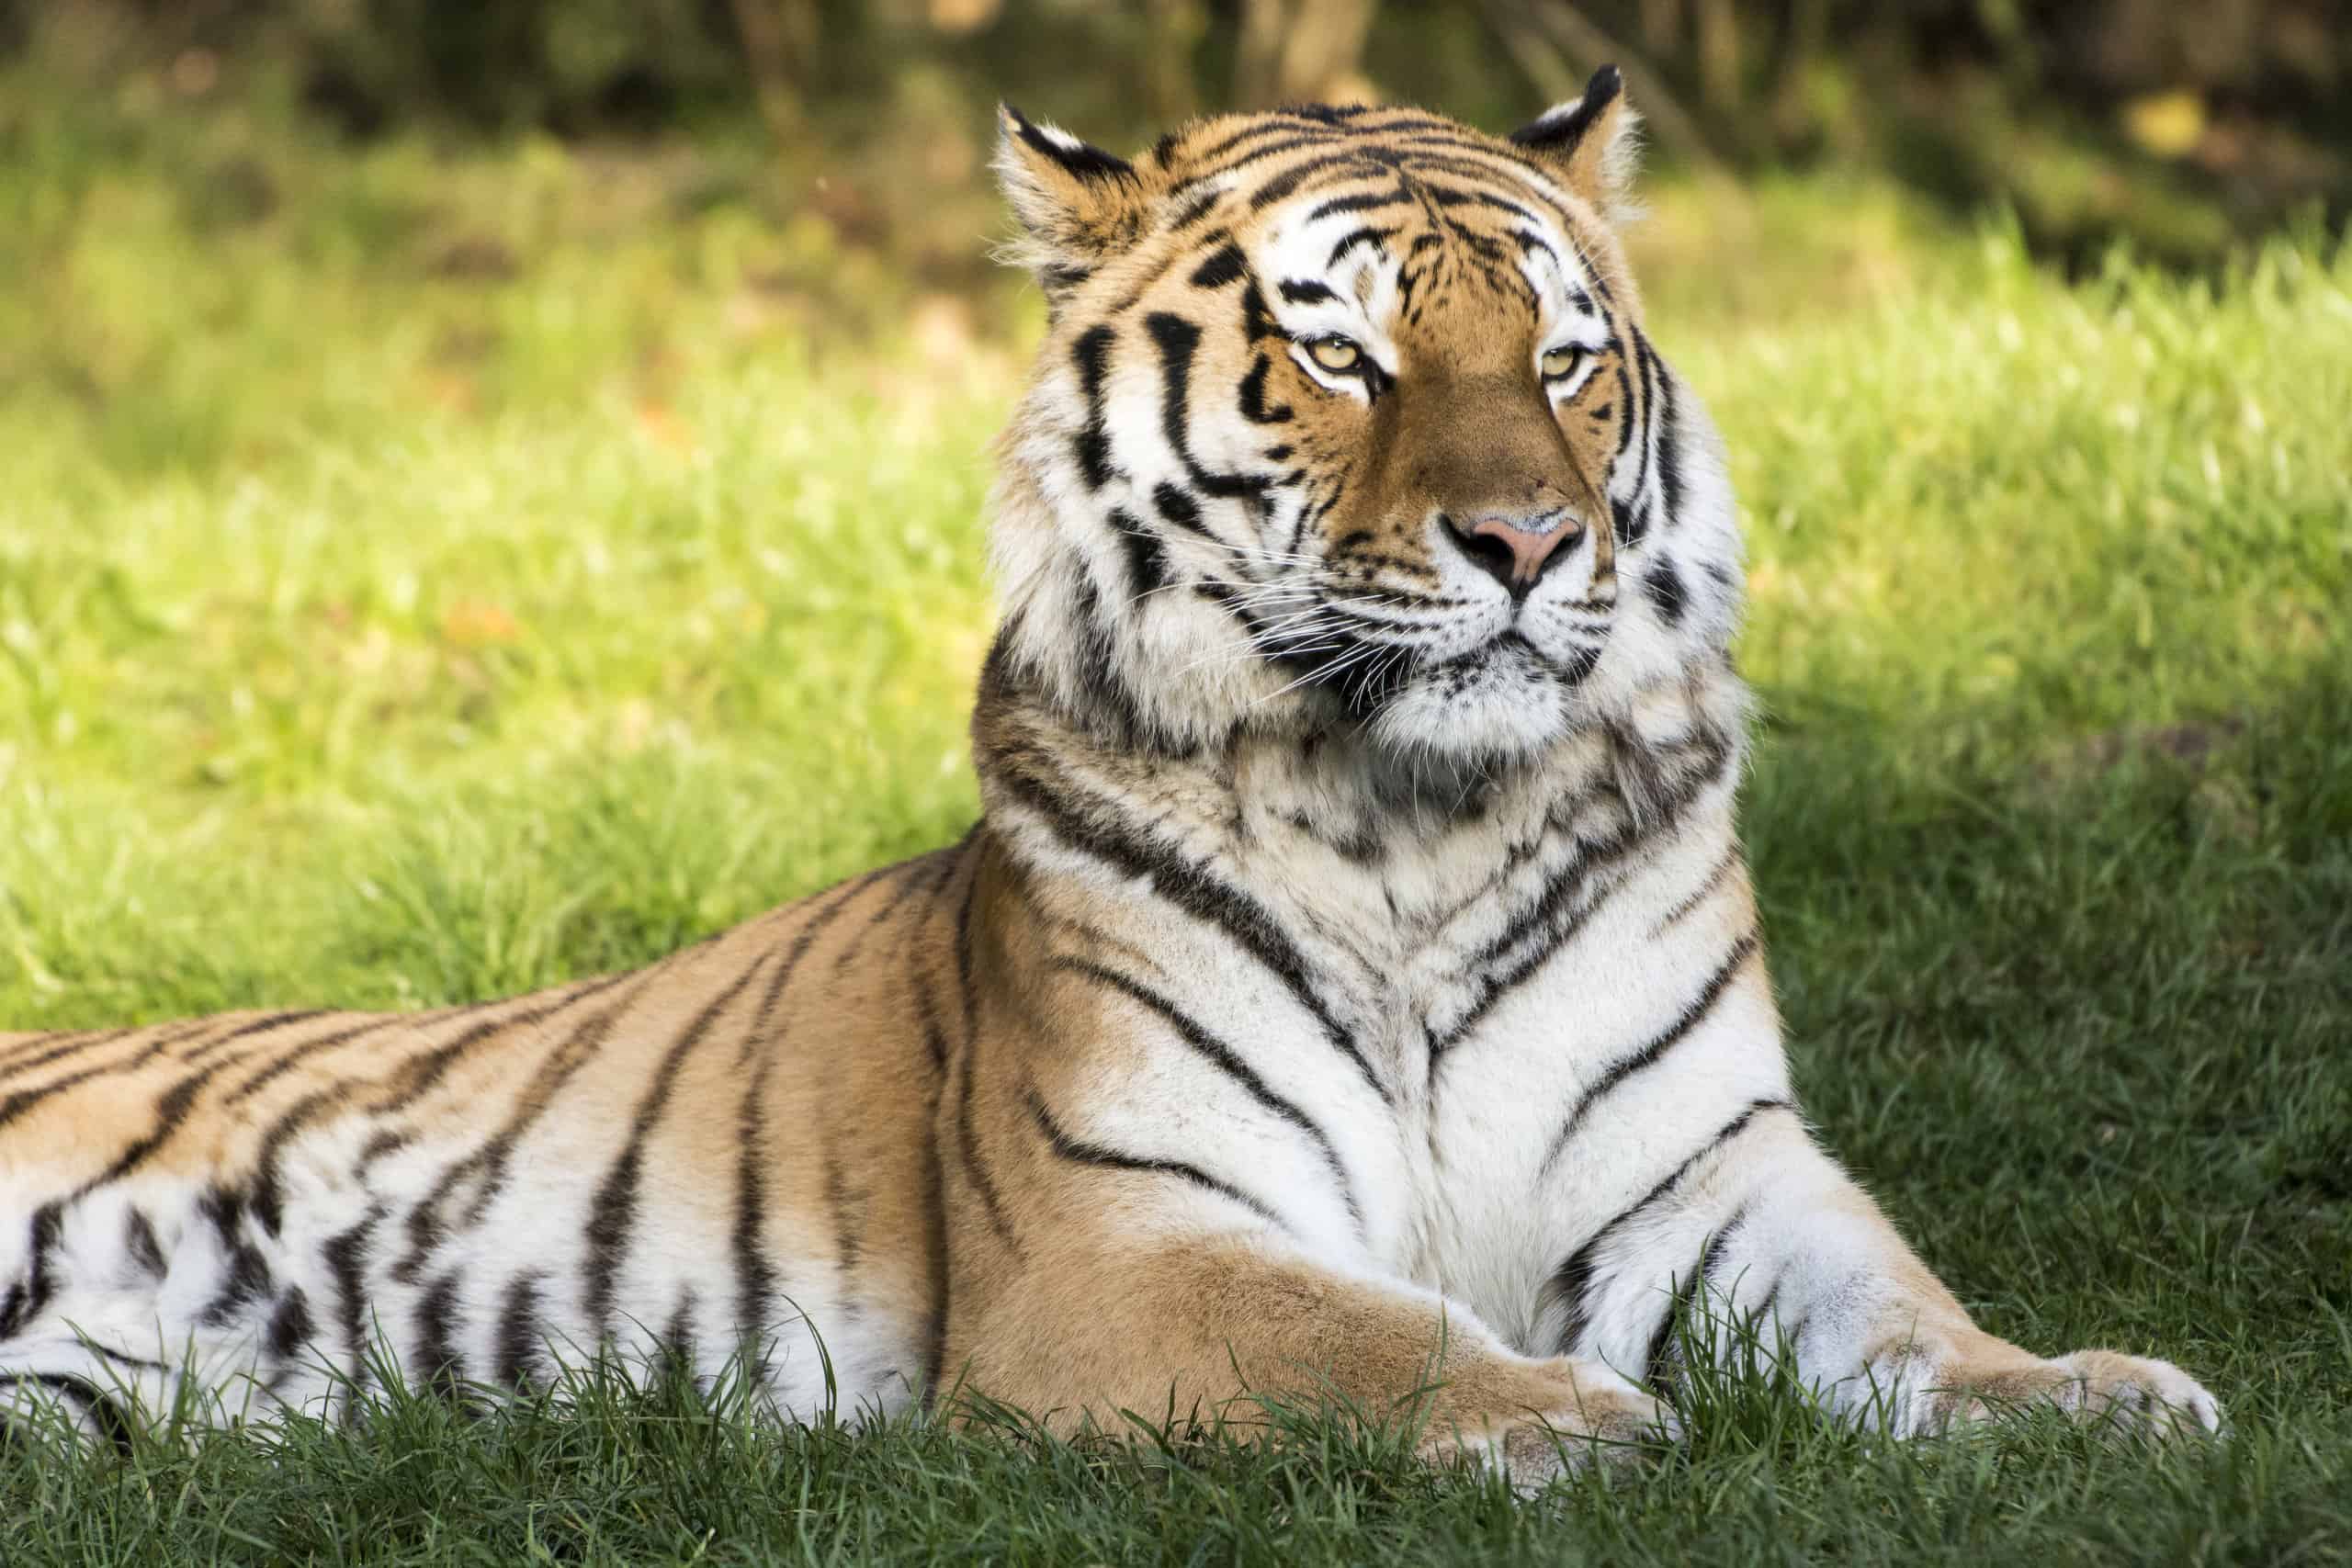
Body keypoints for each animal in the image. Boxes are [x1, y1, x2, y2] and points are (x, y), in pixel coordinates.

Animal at [0, 67, 2221, 1483]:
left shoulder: (1712, 1170)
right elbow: (1365, 1334)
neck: (1415, 821)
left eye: (1565, 361)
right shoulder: (1120, 1238)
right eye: (1345, 358)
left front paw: (2085, 1400)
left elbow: (1903, 1315)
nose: (1527, 541)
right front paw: (1570, 1419)